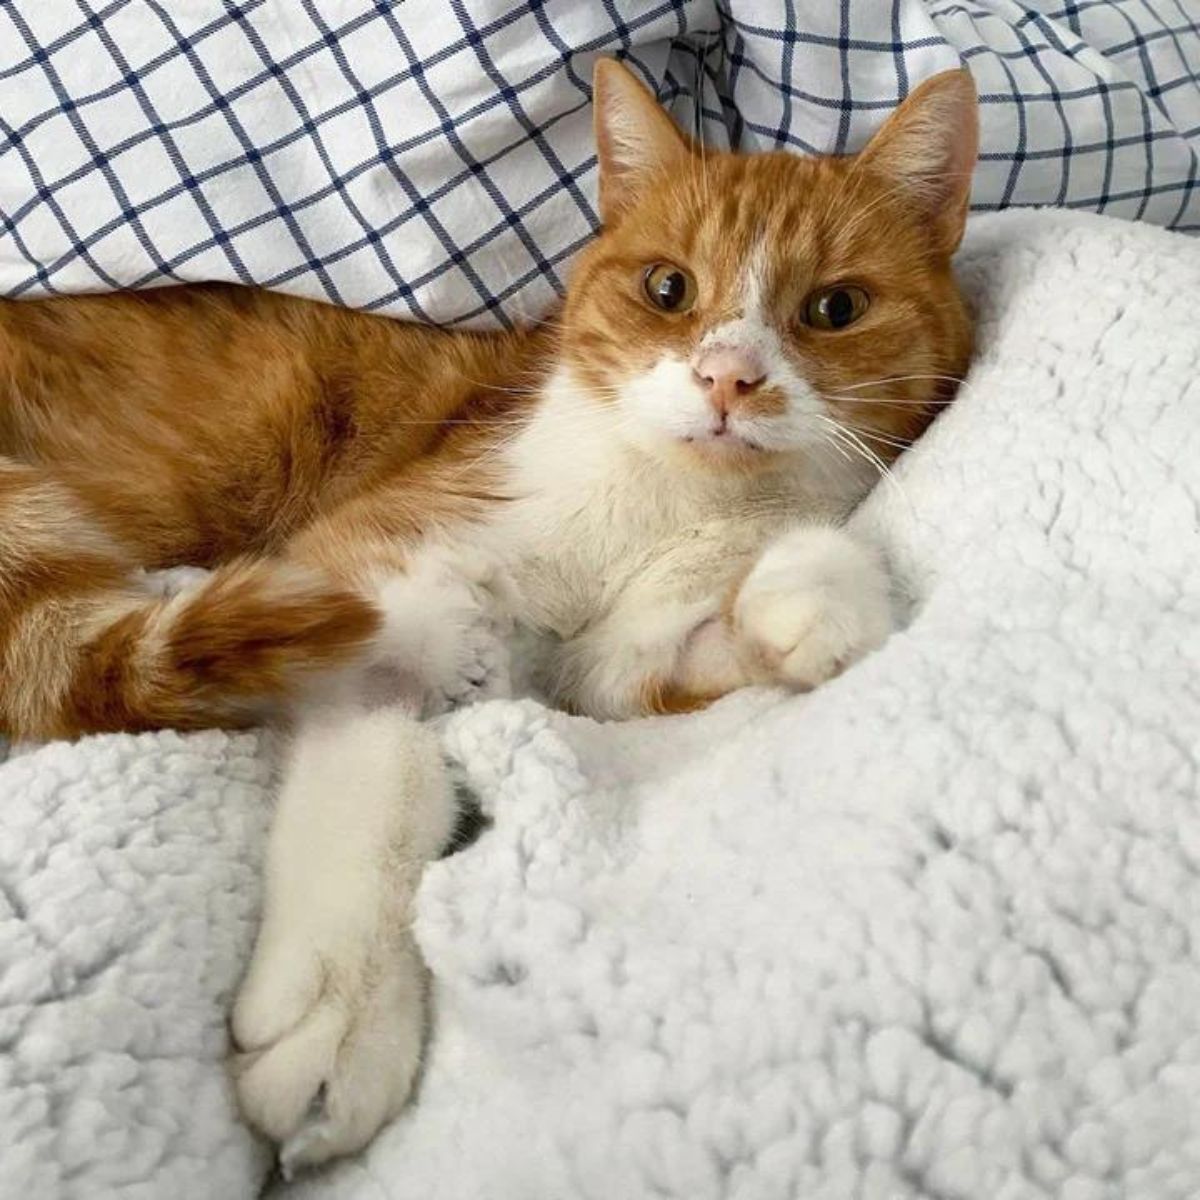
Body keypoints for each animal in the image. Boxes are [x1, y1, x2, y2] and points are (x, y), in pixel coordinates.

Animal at [0, 60, 974, 1166]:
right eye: (668, 289)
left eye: (836, 307)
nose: (729, 377)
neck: (672, 502)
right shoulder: (366, 570)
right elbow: (392, 766)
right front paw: (344, 1009)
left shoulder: (604, 673)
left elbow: (693, 640)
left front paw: (813, 593)